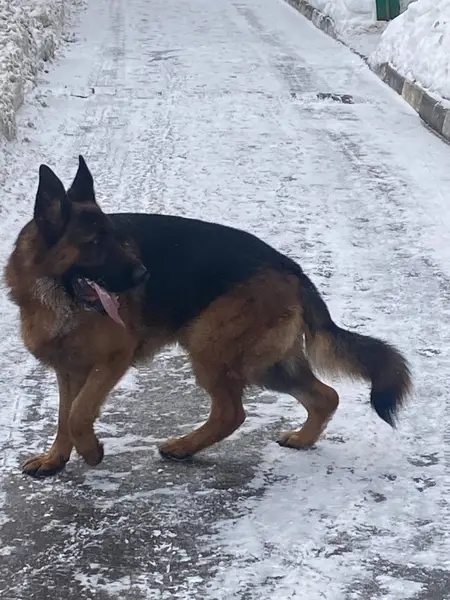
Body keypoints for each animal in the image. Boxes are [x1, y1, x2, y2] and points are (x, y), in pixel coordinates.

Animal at [5, 156, 411, 478]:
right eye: (93, 243)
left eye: (116, 239)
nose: (143, 275)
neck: (57, 293)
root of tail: (291, 268)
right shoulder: (69, 369)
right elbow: (64, 416)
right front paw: (55, 459)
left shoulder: (112, 360)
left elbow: (78, 414)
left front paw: (91, 451)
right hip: (269, 364)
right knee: (325, 396)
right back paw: (301, 439)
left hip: (209, 347)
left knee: (232, 412)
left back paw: (184, 446)